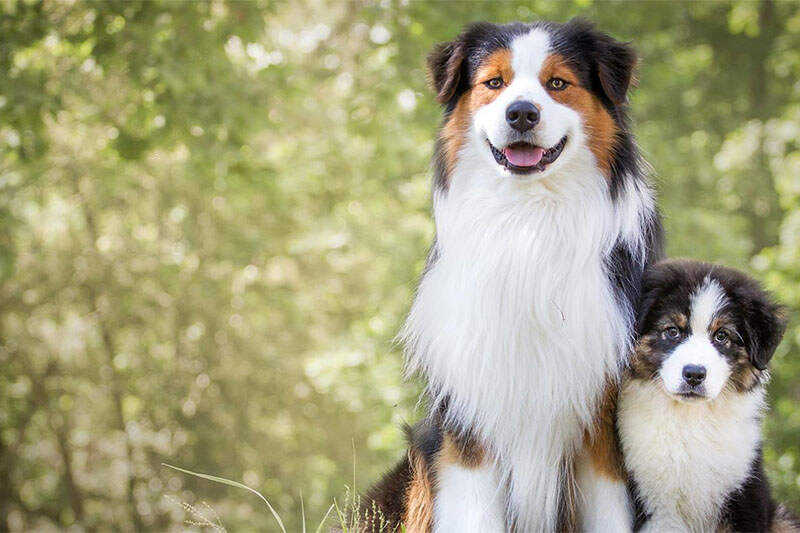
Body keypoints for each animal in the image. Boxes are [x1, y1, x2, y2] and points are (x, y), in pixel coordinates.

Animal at [616, 260, 796, 528]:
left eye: (721, 335)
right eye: (672, 331)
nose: (694, 374)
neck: (691, 419)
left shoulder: (744, 492)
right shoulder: (655, 505)